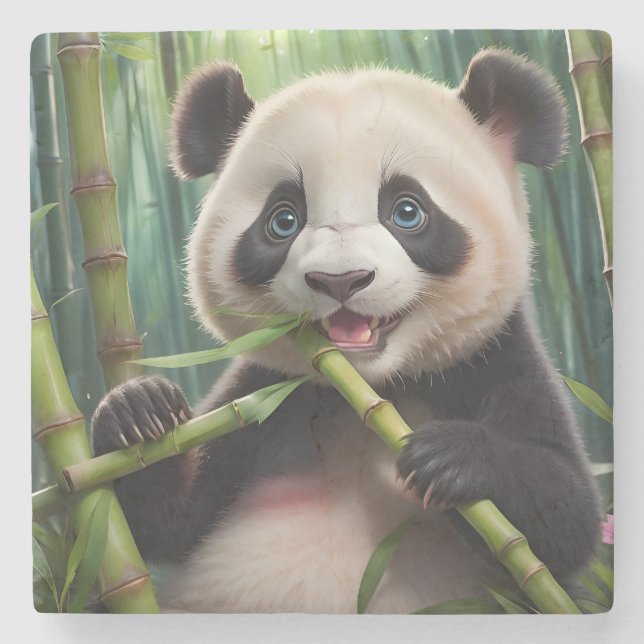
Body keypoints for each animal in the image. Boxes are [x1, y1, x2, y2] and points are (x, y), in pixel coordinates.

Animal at [91, 48, 602, 613]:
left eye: (408, 211)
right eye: (283, 220)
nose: (341, 280)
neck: (368, 393)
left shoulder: (492, 359)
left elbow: (566, 517)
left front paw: (448, 457)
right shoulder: (264, 397)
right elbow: (161, 523)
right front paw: (140, 411)